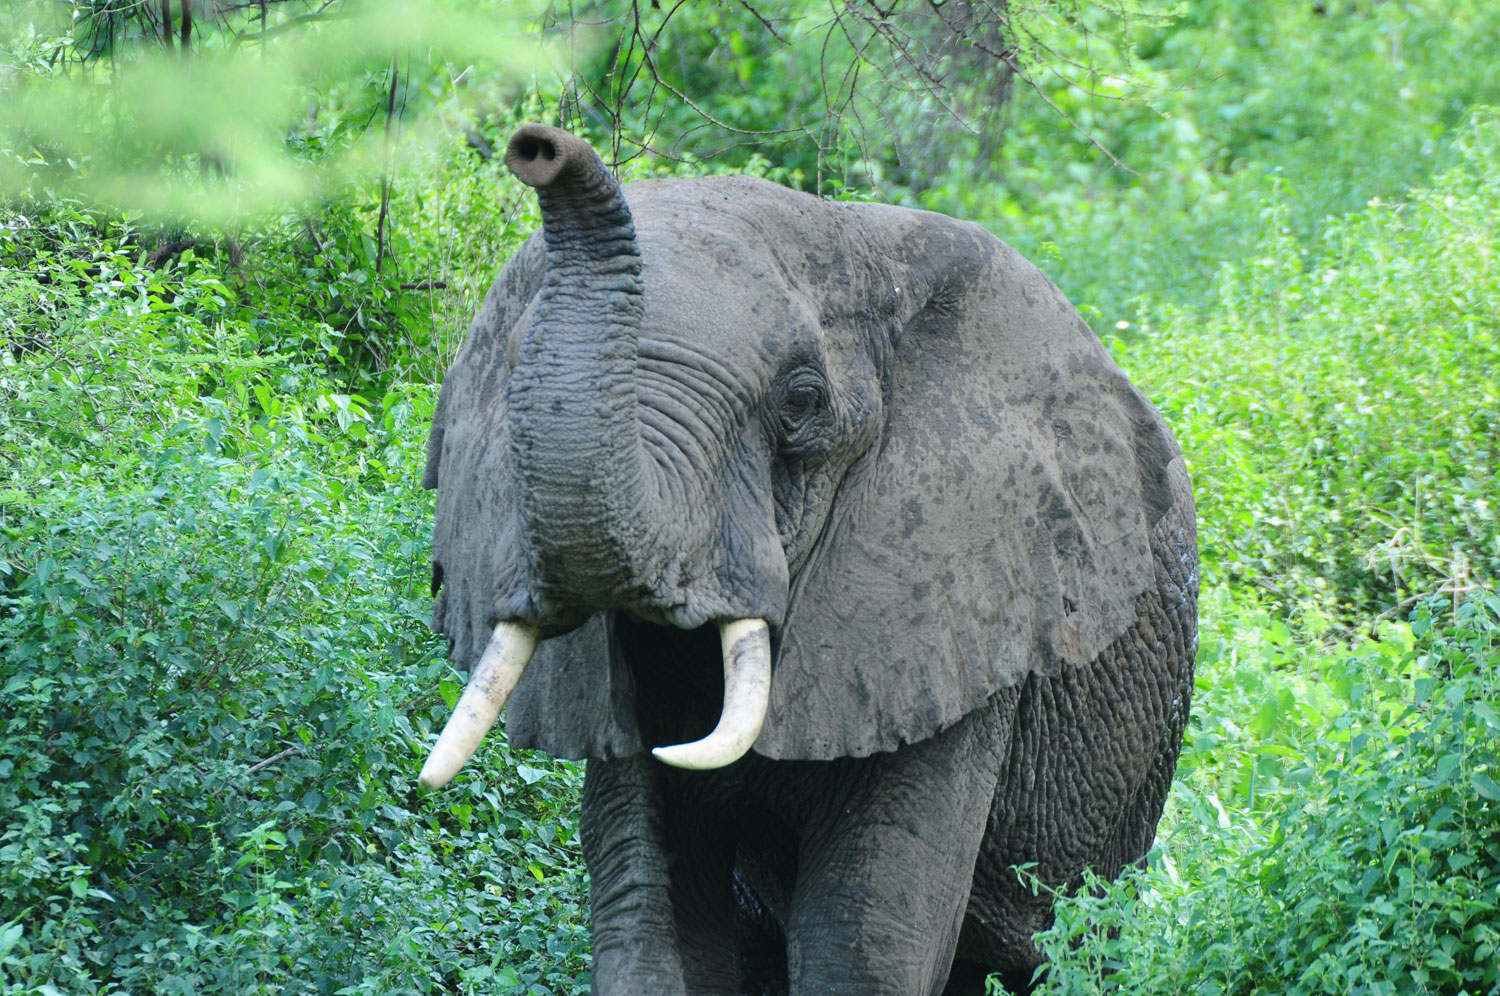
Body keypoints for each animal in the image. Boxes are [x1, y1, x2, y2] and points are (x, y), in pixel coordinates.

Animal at [417, 126, 1200, 996]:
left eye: (800, 402)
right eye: (516, 377)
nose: (539, 147)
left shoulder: (957, 614)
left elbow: (867, 931)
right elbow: (650, 914)